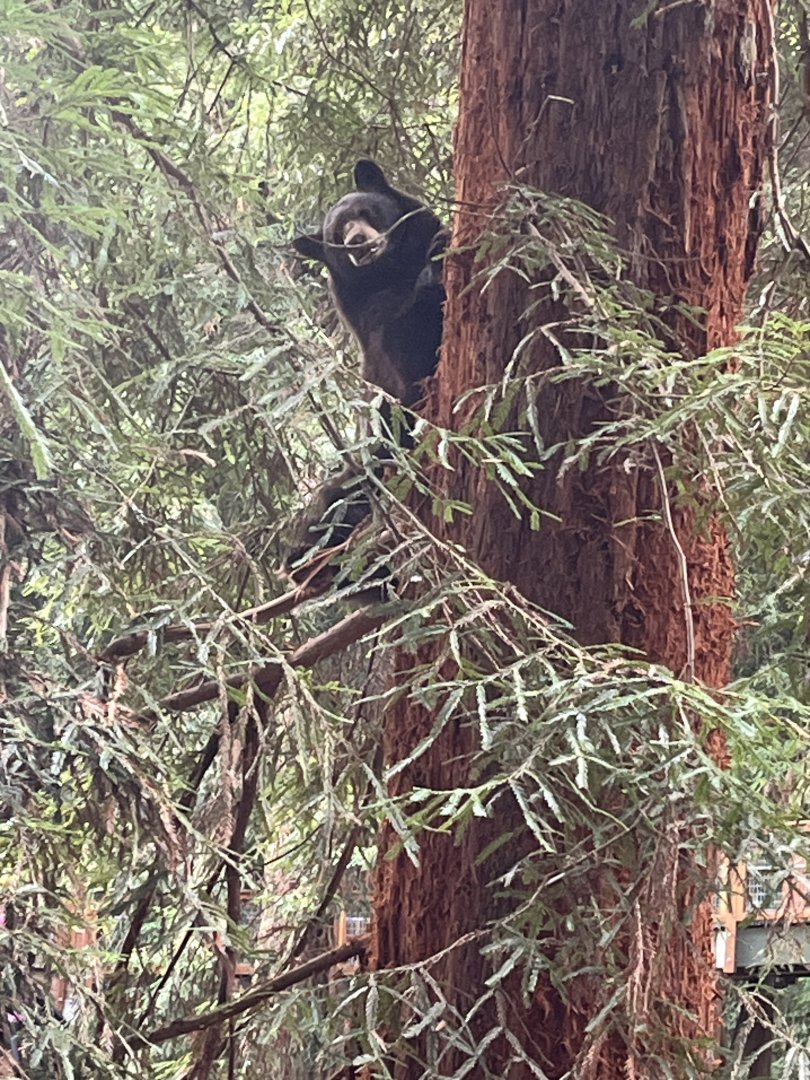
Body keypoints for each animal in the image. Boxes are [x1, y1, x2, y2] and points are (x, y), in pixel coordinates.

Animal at [284, 158, 446, 598]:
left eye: (364, 212)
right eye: (337, 238)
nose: (357, 242)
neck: (390, 274)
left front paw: (438, 254)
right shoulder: (375, 330)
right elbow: (401, 348)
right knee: (333, 498)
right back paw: (305, 559)